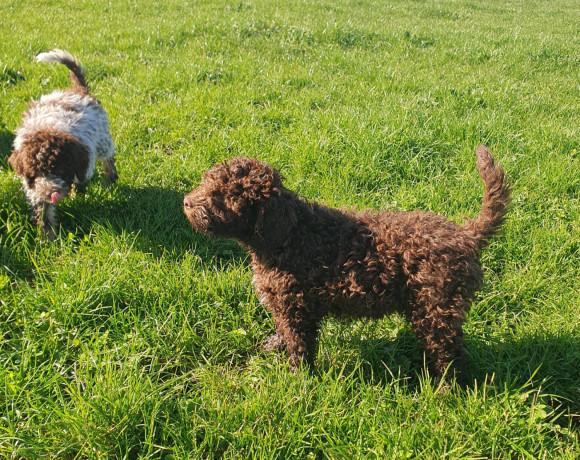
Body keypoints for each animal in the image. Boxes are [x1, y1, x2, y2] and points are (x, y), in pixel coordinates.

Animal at [8, 48, 117, 239]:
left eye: (58, 170)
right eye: (34, 173)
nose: (51, 193)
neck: (46, 129)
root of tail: (79, 91)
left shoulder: (84, 160)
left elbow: (81, 180)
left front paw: (77, 195)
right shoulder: (34, 188)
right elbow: (43, 212)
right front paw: (48, 238)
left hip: (102, 136)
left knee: (108, 154)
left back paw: (111, 174)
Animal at [184, 146, 510, 380]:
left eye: (223, 196)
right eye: (206, 183)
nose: (186, 202)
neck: (290, 233)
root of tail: (466, 235)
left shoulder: (297, 306)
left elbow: (299, 344)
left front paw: (297, 380)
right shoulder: (285, 305)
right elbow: (283, 331)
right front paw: (275, 345)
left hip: (436, 307)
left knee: (449, 354)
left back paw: (444, 391)